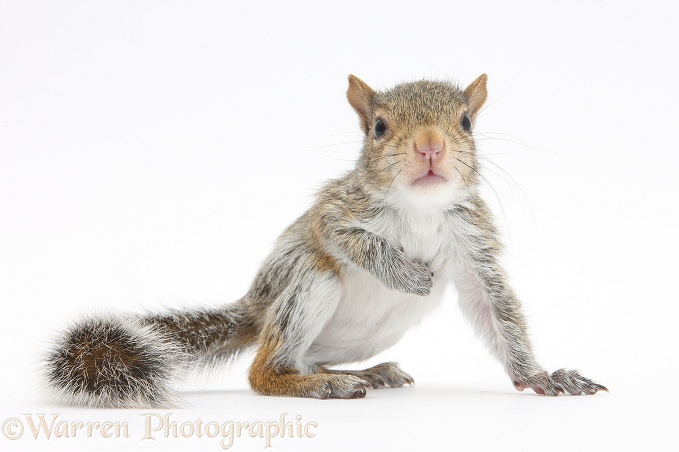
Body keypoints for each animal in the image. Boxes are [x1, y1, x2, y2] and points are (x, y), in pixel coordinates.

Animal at [42, 73, 608, 406]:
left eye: (467, 122)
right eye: (379, 127)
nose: (430, 146)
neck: (420, 209)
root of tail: (257, 309)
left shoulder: (472, 245)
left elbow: (497, 313)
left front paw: (544, 377)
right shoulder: (336, 213)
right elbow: (353, 240)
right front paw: (410, 275)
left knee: (303, 357)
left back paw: (363, 374)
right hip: (309, 283)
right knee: (263, 372)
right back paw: (322, 384)